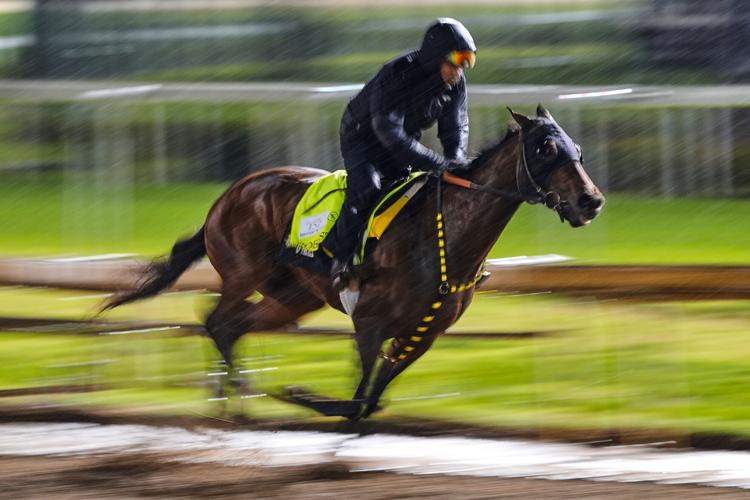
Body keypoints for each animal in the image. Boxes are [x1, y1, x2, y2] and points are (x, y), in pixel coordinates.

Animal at [101, 105, 604, 419]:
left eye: (577, 148)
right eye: (545, 149)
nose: (591, 201)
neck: (445, 239)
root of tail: (228, 195)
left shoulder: (421, 336)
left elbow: (370, 403)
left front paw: (301, 397)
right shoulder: (370, 322)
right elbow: (358, 399)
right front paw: (298, 393)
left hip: (293, 297)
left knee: (234, 326)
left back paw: (235, 402)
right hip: (244, 272)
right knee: (216, 320)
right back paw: (234, 397)